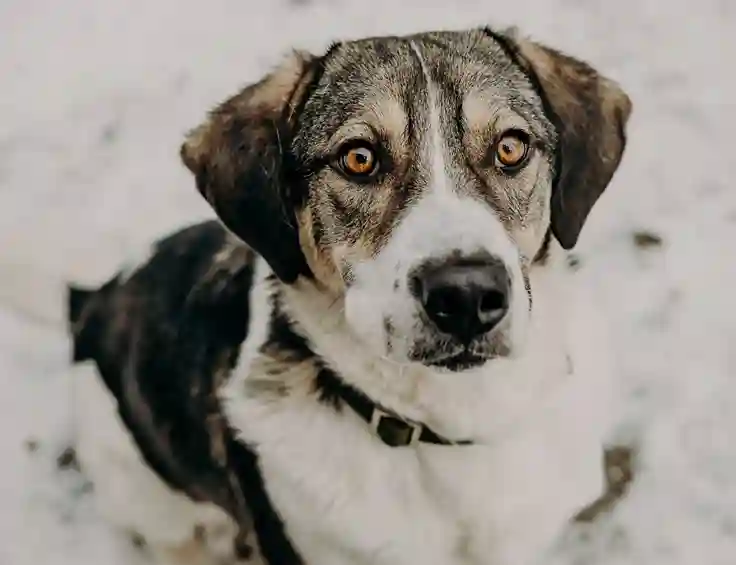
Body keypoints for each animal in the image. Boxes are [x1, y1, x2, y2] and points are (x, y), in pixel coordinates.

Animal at [66, 25, 633, 565]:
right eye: (359, 159)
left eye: (511, 147)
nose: (467, 296)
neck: (450, 423)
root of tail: (93, 299)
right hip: (140, 484)